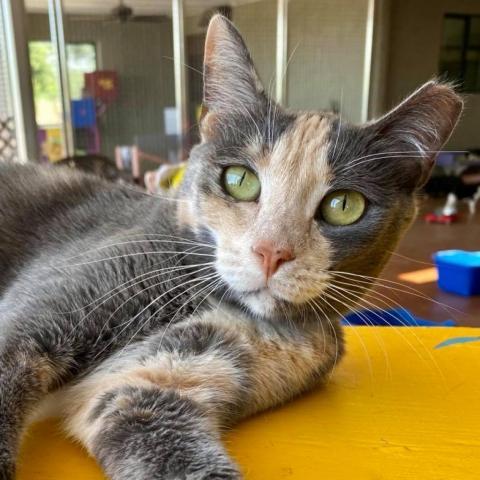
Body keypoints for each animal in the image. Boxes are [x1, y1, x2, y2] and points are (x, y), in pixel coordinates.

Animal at [0, 15, 464, 480]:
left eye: (344, 205)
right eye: (240, 180)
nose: (272, 252)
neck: (213, 299)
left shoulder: (158, 380)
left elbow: (149, 419)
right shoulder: (41, 316)